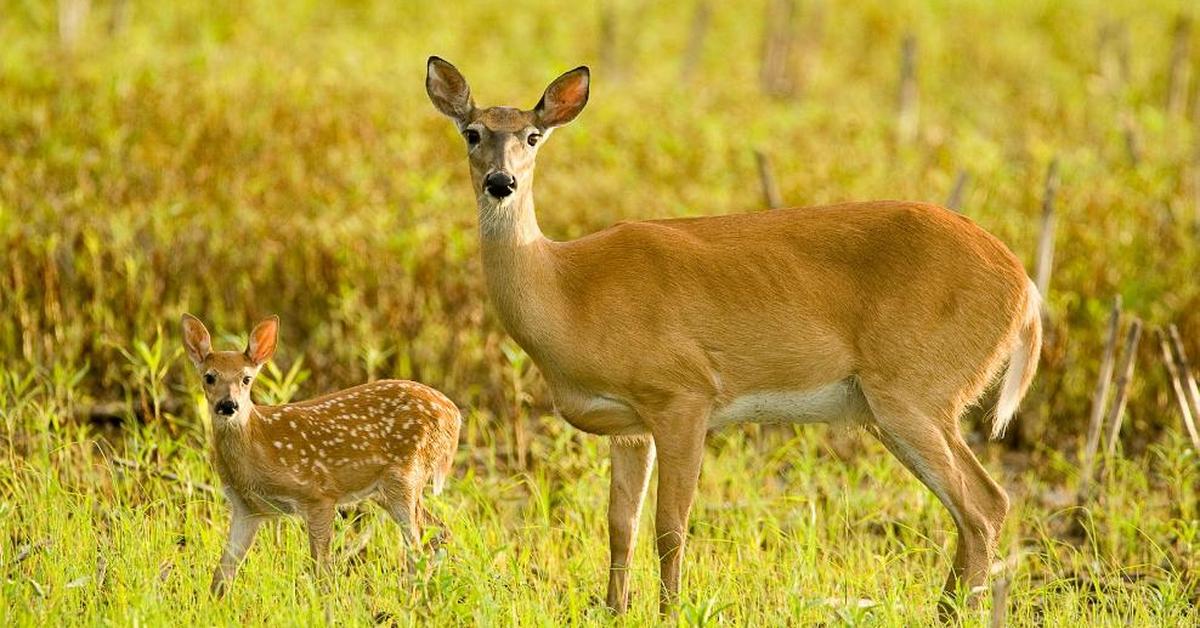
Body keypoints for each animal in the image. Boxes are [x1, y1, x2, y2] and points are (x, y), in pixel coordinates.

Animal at [180, 317, 460, 597]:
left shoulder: (319, 494)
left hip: (404, 475)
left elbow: (322, 571)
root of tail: (454, 414)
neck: (258, 449)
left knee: (417, 549)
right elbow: (222, 574)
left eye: (247, 378)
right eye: (209, 377)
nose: (228, 405)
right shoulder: (246, 508)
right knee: (438, 532)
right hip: (387, 490)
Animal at [429, 56, 1041, 614]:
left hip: (914, 389)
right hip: (896, 405)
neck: (567, 291)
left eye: (533, 136)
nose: (501, 182)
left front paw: (671, 611)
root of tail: (1025, 288)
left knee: (985, 504)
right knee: (976, 510)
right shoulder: (629, 426)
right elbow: (620, 525)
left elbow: (670, 525)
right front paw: (614, 609)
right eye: (472, 131)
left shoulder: (683, 394)